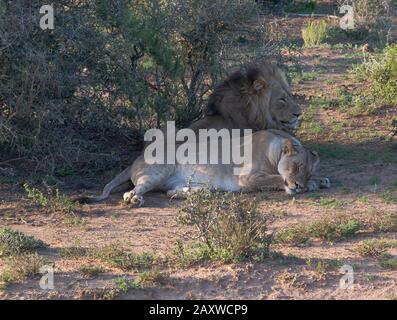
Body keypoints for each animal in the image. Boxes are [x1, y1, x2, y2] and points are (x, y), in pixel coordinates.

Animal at [79, 129, 330, 206]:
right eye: (296, 166)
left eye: (307, 171)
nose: (299, 185)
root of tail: (136, 159)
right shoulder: (246, 179)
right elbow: (276, 179)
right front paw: (305, 186)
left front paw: (320, 181)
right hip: (157, 171)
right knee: (131, 190)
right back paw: (134, 199)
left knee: (171, 192)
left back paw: (189, 194)